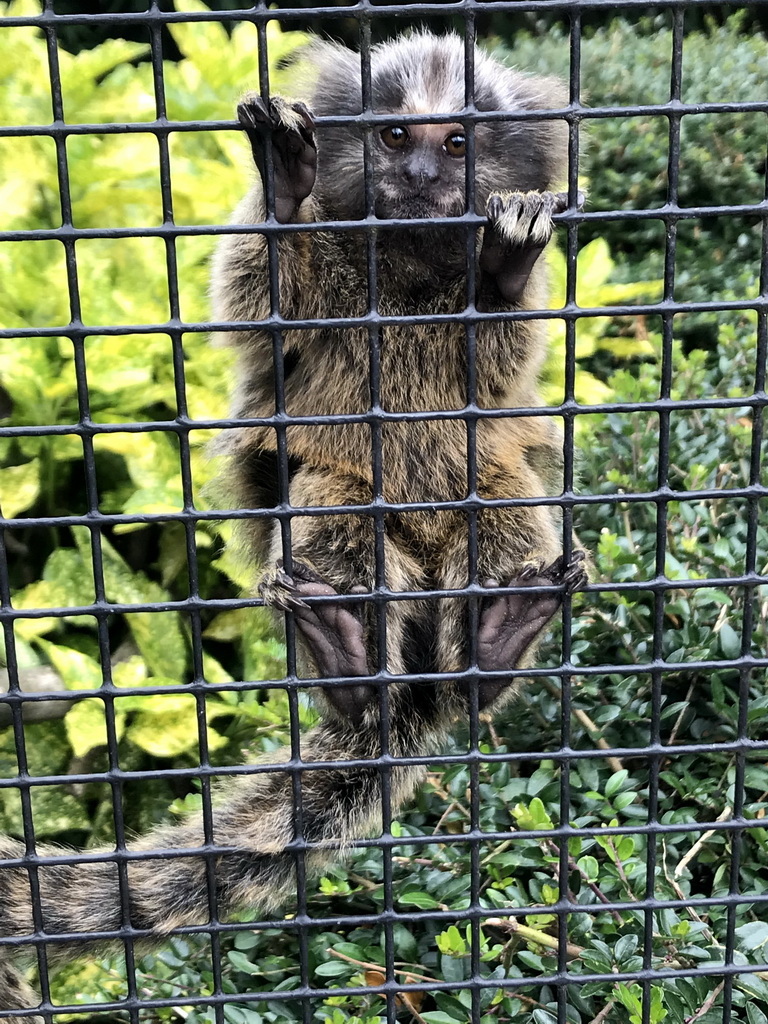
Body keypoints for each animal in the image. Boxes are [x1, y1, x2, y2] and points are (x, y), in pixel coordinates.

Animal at [0, 28, 585, 1019]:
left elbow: (500, 358)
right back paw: (350, 649)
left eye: (456, 144)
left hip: (478, 514)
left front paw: (501, 269)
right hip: (337, 514)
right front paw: (287, 187)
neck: (408, 268)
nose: (421, 174)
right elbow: (262, 306)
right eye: (394, 136)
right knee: (328, 495)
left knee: (502, 484)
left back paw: (495, 637)